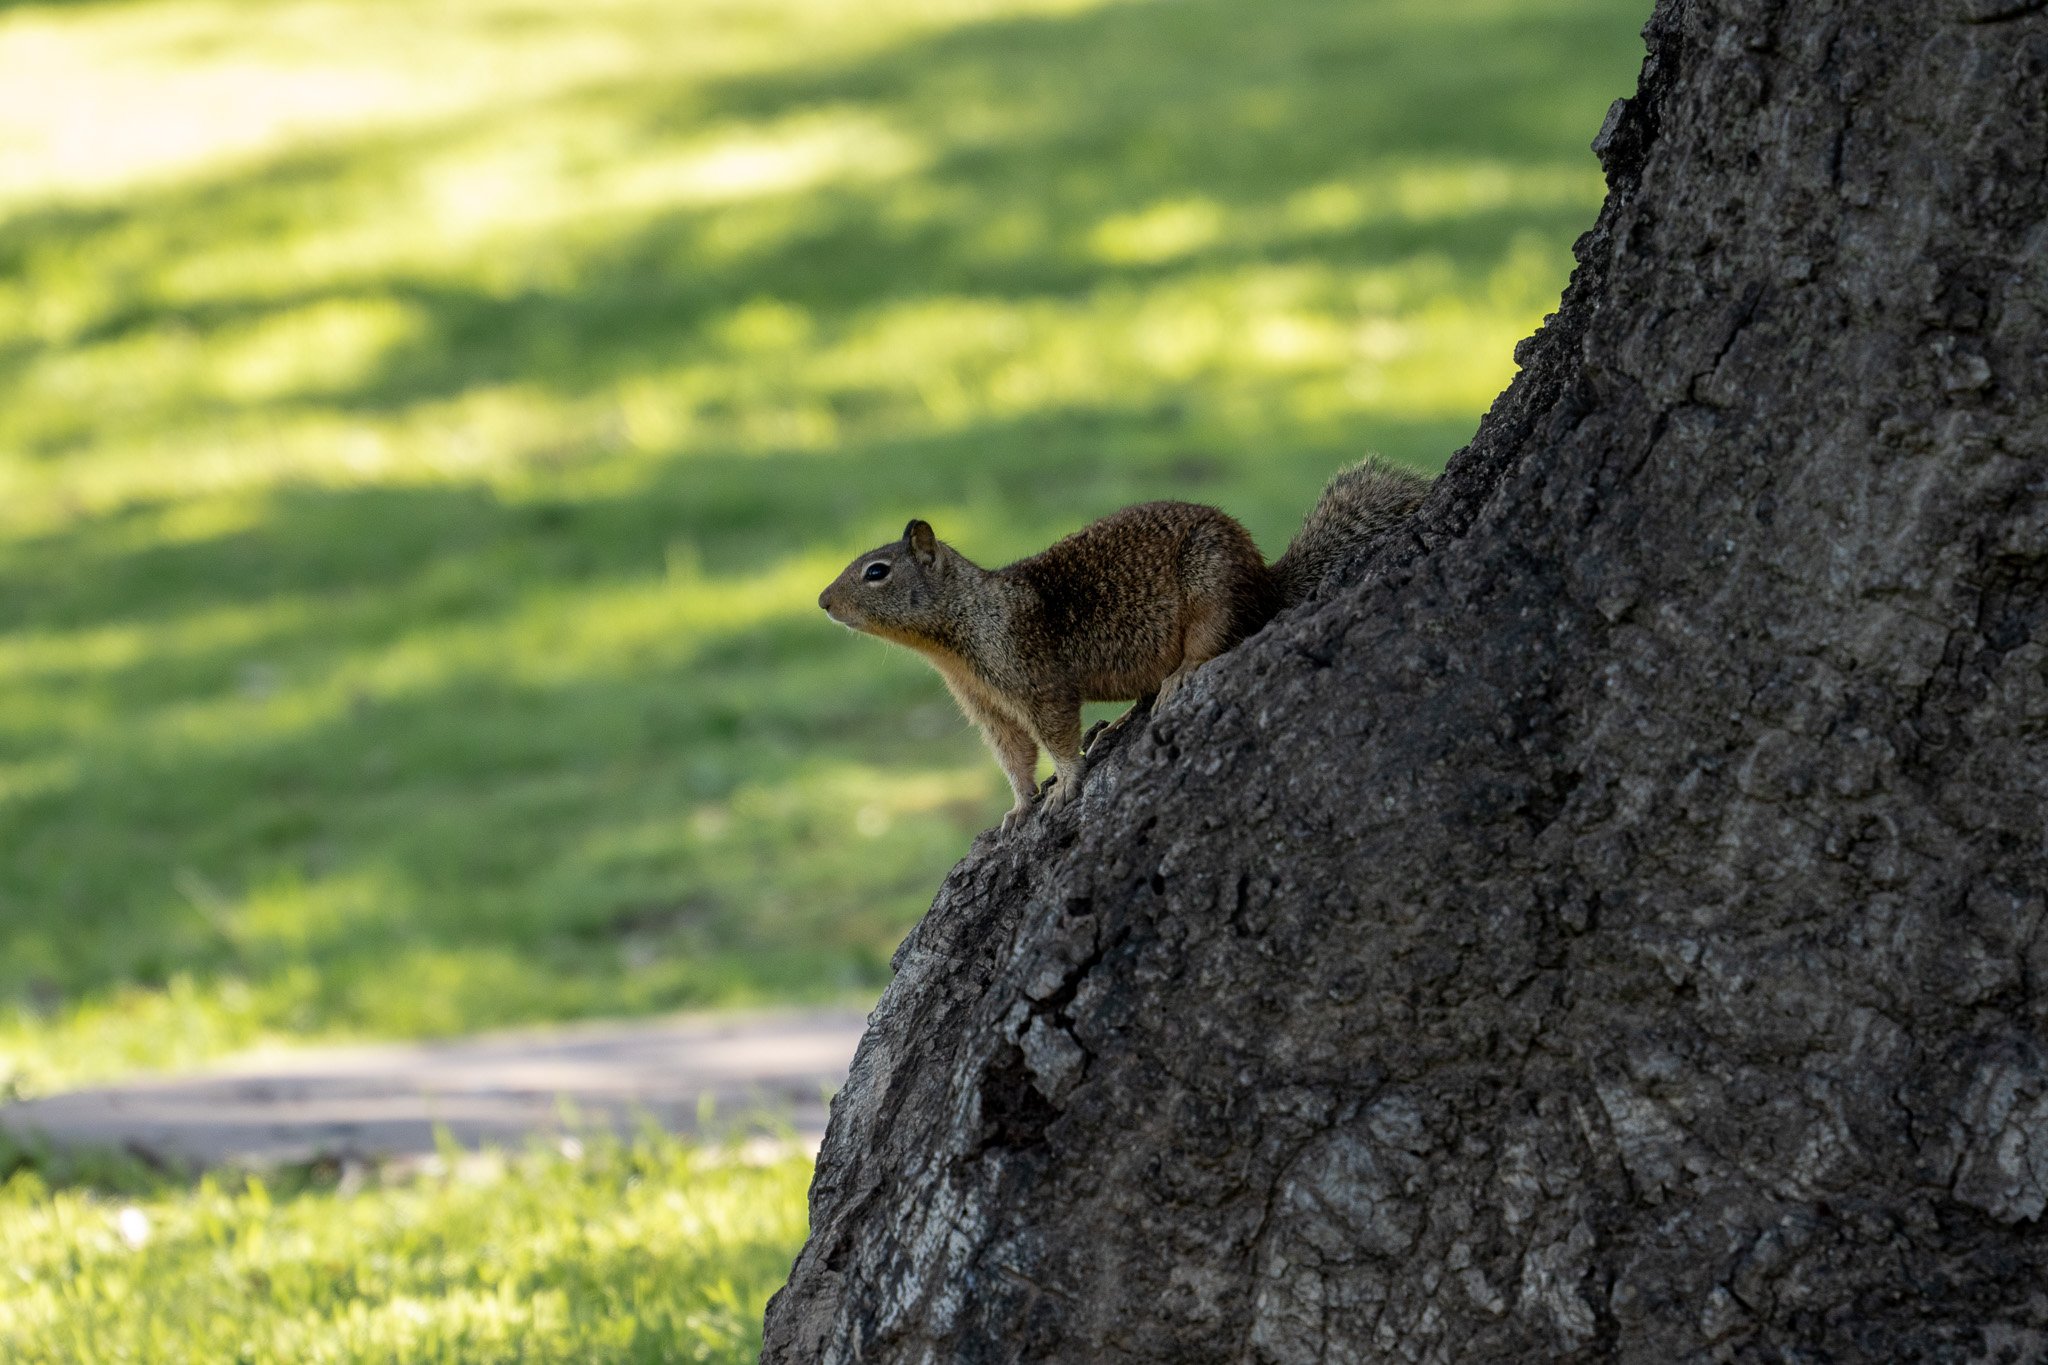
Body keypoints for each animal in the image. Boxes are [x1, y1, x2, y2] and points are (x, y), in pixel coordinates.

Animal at [818, 458, 1432, 833]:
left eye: (877, 572)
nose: (822, 602)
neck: (956, 637)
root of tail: (1267, 581)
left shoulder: (1035, 675)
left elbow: (1057, 735)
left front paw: (1066, 785)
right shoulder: (989, 708)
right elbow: (1014, 757)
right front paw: (1018, 807)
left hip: (1213, 592)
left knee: (1213, 641)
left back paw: (1181, 675)